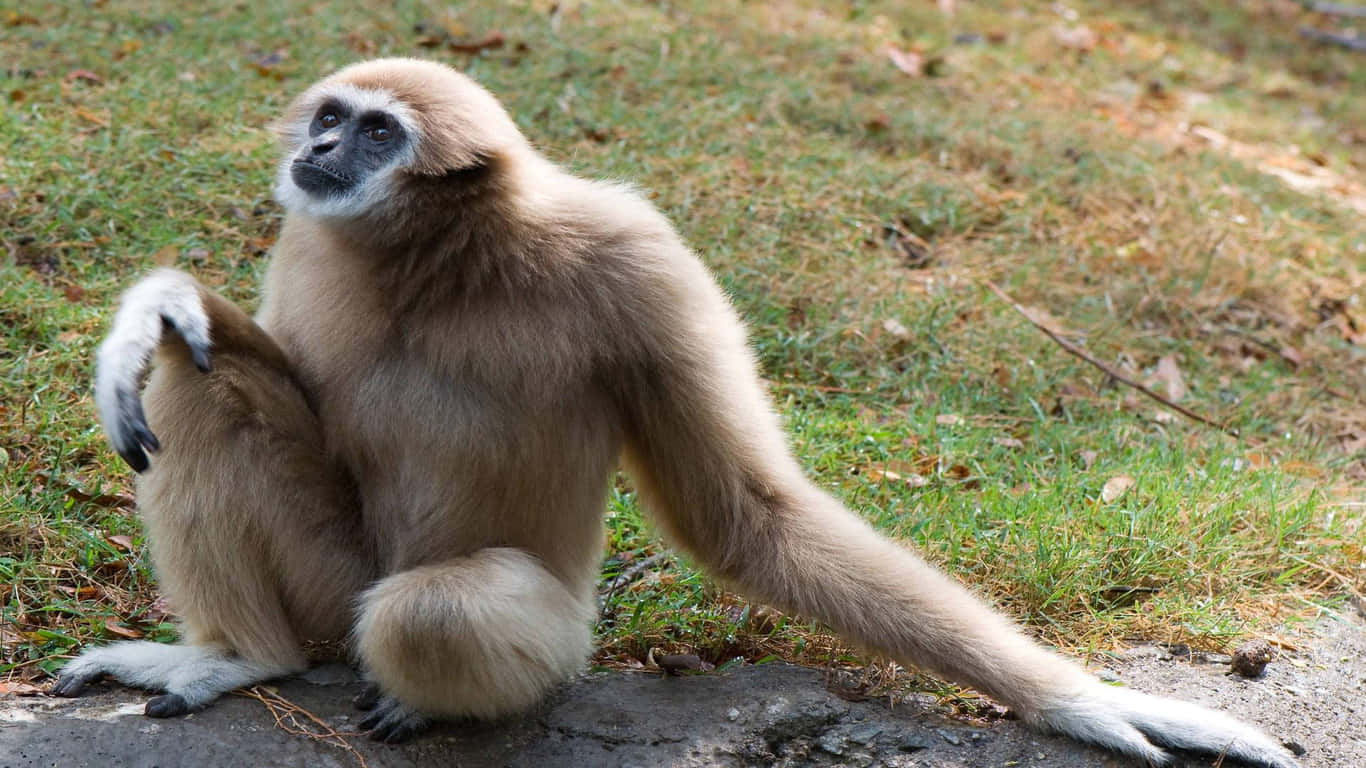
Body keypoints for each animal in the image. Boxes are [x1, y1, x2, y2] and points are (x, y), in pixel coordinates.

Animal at [50, 58, 1297, 767]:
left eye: (376, 131)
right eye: (332, 115)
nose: (313, 145)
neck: (440, 263)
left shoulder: (641, 261)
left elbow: (746, 515)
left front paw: (1080, 702)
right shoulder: (312, 236)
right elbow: (243, 357)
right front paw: (148, 304)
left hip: (549, 639)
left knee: (427, 614)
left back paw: (388, 691)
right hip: (328, 581)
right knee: (195, 376)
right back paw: (241, 654)